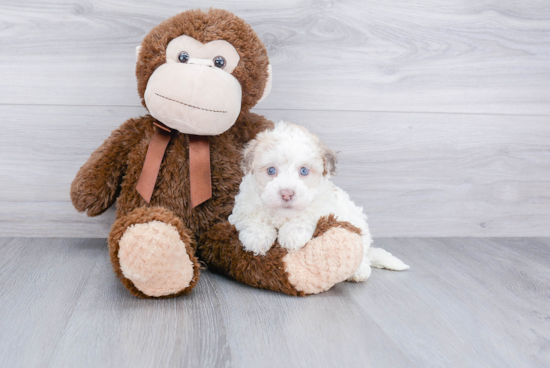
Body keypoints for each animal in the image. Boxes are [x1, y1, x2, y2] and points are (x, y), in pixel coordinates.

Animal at [229, 121, 410, 282]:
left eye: (304, 171)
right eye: (271, 170)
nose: (287, 194)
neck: (283, 215)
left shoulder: (325, 205)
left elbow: (308, 214)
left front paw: (292, 234)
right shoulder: (244, 204)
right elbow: (252, 217)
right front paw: (257, 236)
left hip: (358, 224)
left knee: (363, 252)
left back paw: (359, 271)